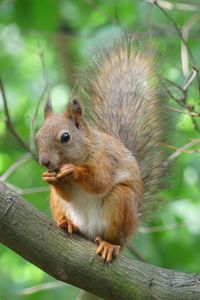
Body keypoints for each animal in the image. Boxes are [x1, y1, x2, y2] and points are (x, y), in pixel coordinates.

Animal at [35, 37, 164, 262]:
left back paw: (109, 245)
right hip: (58, 204)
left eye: (65, 137)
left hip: (121, 203)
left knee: (113, 236)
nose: (45, 162)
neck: (88, 148)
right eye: (37, 137)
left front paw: (73, 171)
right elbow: (68, 194)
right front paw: (50, 178)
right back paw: (67, 223)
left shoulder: (107, 160)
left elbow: (99, 181)